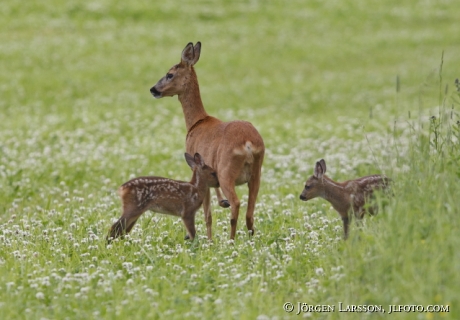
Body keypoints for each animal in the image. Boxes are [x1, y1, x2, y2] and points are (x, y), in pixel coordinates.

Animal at [151, 41, 266, 240]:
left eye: (170, 74)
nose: (153, 89)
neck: (197, 122)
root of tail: (248, 145)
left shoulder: (197, 167)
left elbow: (207, 214)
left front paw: (209, 240)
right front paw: (222, 203)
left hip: (227, 170)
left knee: (237, 203)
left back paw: (231, 239)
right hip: (256, 173)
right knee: (250, 212)